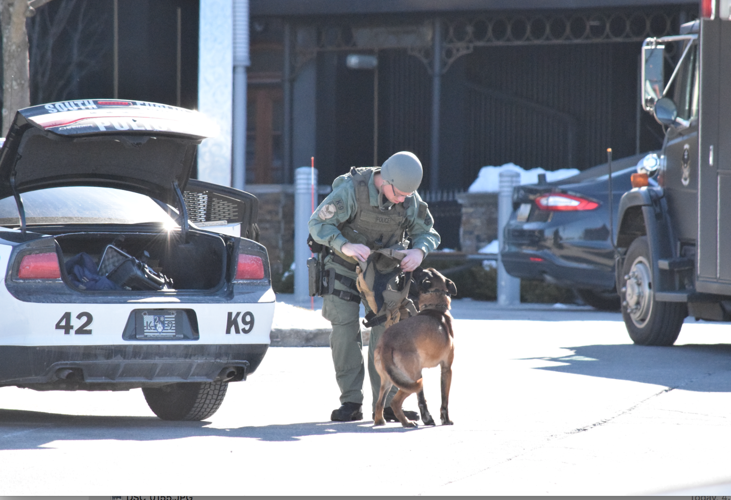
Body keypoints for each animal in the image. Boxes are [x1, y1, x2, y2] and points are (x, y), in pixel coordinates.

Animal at [374, 268, 454, 428]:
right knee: (395, 402)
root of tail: (386, 343)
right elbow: (444, 400)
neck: (435, 308)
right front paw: (446, 420)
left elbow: (422, 399)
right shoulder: (447, 369)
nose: (408, 270)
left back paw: (381, 421)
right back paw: (407, 422)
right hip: (414, 377)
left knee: (380, 403)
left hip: (390, 380)